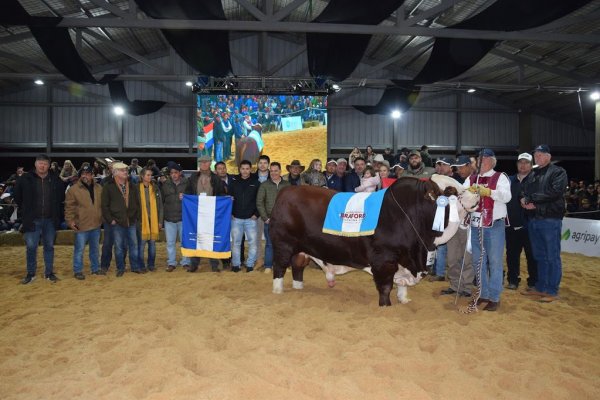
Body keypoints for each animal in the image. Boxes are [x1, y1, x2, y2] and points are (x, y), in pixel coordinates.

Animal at [268, 175, 478, 306]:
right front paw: (386, 305)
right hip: (283, 245)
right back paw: (278, 291)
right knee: (279, 267)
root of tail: (285, 192)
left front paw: (404, 300)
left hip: (301, 249)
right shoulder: (384, 259)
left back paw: (298, 288)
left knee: (298, 267)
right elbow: (385, 286)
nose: (477, 194)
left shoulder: (405, 259)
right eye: (452, 191)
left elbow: (402, 286)